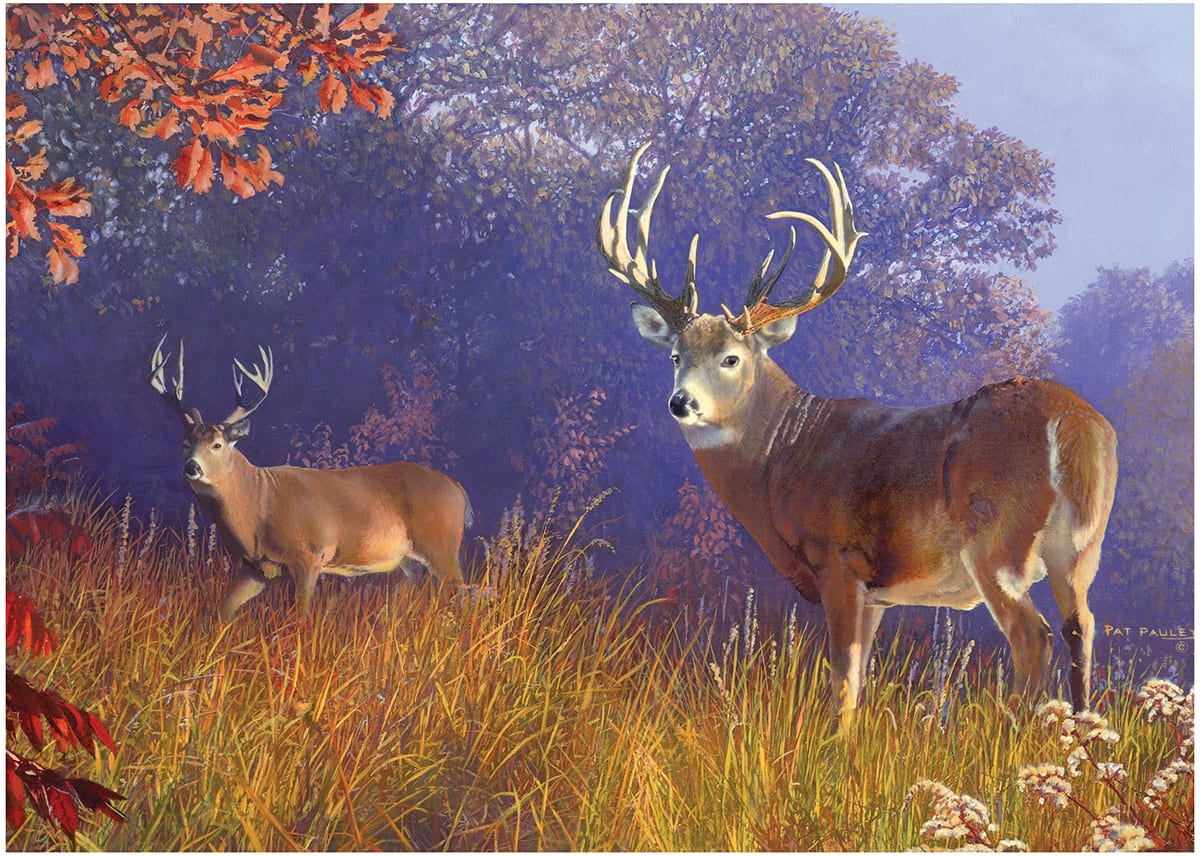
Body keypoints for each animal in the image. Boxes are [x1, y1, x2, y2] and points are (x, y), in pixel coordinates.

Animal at [148, 336, 473, 621]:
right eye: (185, 443)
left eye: (216, 444)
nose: (192, 467)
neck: (257, 507)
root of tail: (459, 489)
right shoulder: (255, 568)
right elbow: (221, 614)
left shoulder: (309, 555)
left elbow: (301, 617)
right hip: (409, 560)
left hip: (441, 545)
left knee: (462, 592)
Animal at [597, 143, 1117, 733]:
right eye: (674, 356)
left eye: (731, 357)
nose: (681, 402)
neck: (783, 458)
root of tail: (1073, 424)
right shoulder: (879, 596)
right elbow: (861, 677)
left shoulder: (838, 559)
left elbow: (842, 679)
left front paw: (833, 748)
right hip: (1082, 547)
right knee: (1082, 628)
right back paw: (1080, 734)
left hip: (997, 541)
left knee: (1034, 637)